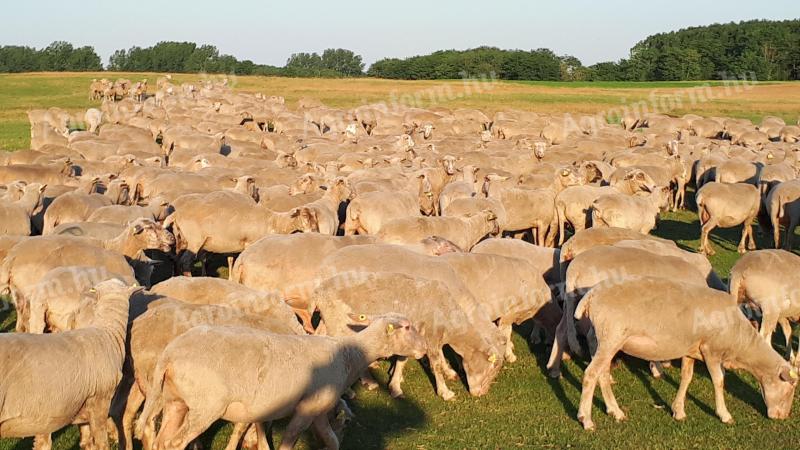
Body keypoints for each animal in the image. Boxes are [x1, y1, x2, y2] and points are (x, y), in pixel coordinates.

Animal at [138, 314, 424, 450]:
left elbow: (332, 441)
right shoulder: (306, 409)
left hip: (176, 401)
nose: (424, 350)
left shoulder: (318, 410)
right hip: (205, 406)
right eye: (407, 327)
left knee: (162, 442)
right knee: (175, 443)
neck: (349, 356)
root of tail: (171, 352)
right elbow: (289, 442)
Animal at [576, 278, 792, 428]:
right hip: (610, 339)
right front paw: (724, 415)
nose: (783, 418)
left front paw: (678, 410)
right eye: (789, 389)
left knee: (602, 375)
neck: (739, 341)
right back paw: (586, 419)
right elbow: (719, 381)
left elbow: (686, 378)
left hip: (602, 342)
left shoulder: (691, 350)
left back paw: (615, 411)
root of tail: (592, 294)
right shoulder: (711, 350)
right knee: (590, 375)